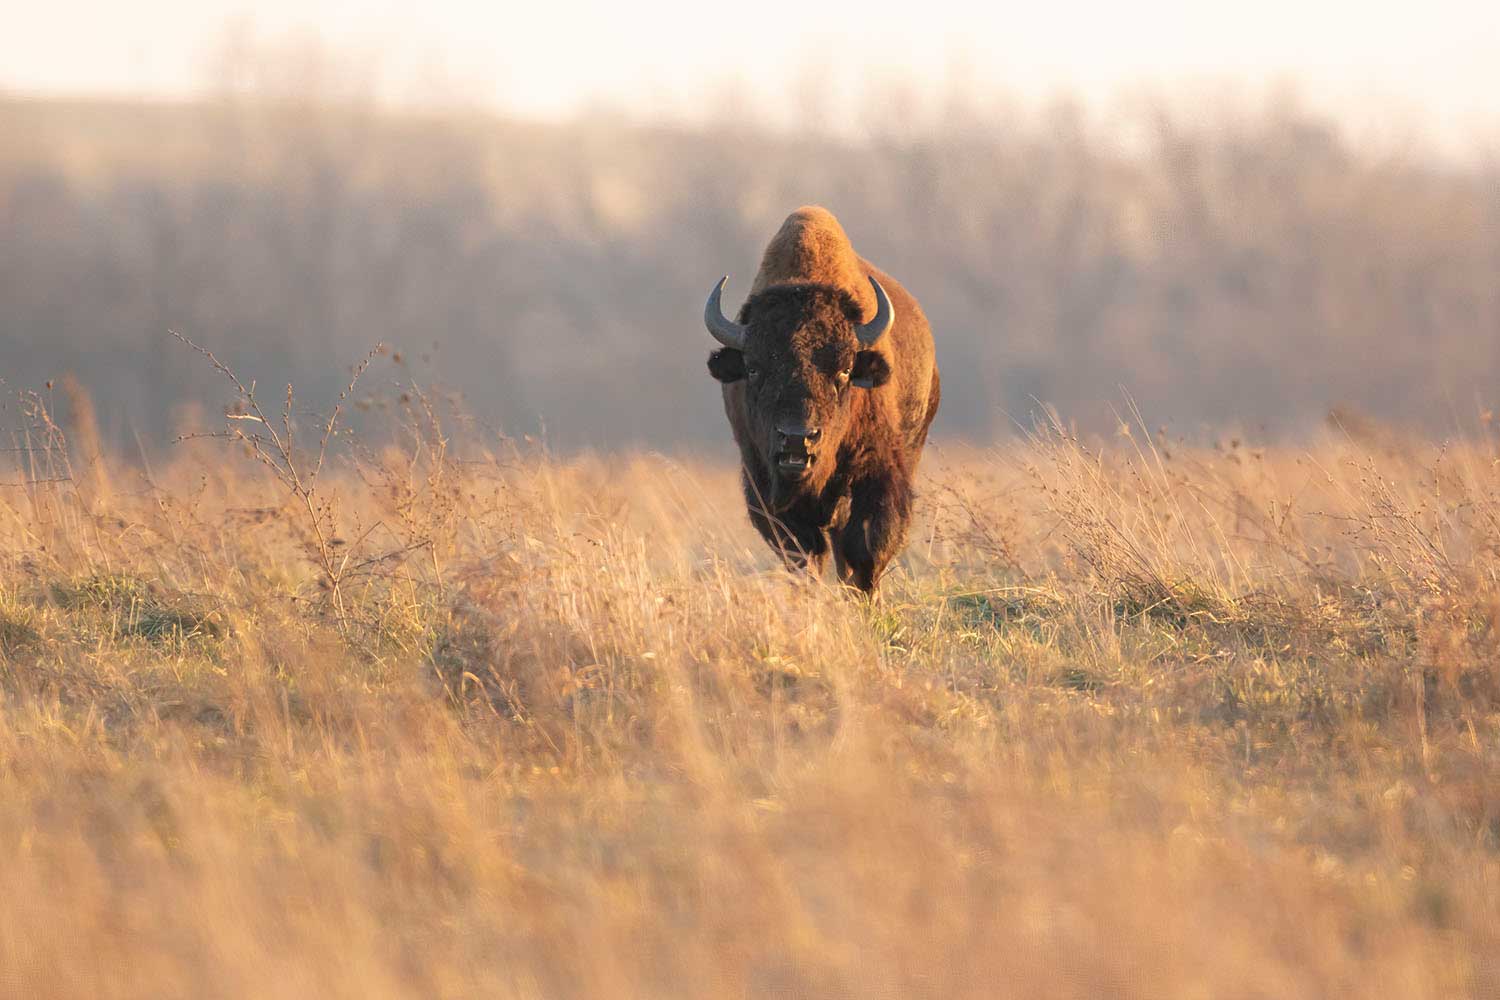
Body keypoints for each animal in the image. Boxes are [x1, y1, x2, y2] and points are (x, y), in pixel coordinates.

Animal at [702, 206, 936, 590]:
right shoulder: (764, 486)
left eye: (844, 371)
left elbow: (866, 549)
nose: (798, 438)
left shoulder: (879, 475)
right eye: (753, 368)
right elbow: (804, 555)